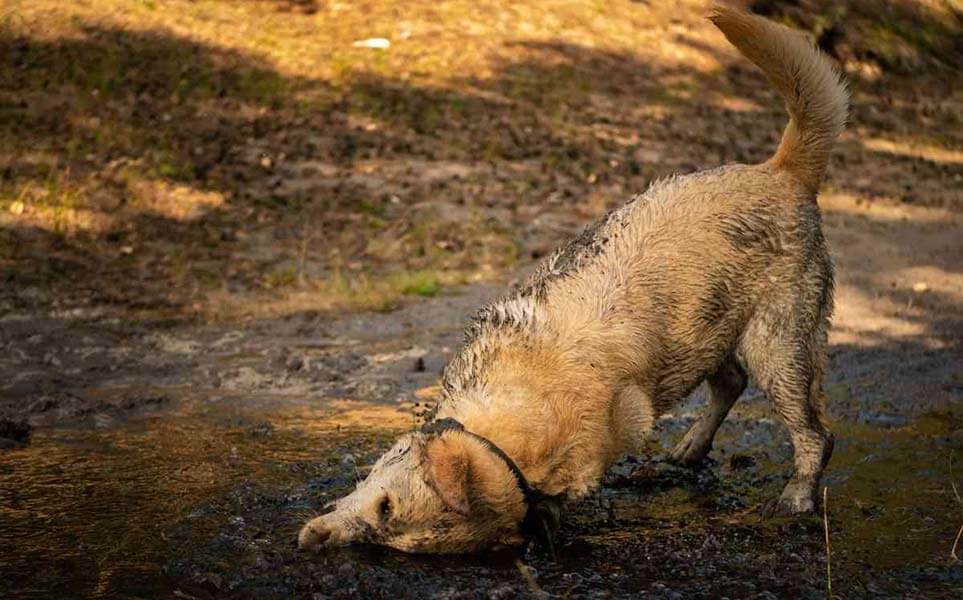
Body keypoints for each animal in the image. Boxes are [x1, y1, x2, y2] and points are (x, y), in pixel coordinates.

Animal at [300, 1, 844, 552]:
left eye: (386, 511)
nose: (313, 540)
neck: (511, 428)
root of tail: (784, 171)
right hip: (711, 329)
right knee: (731, 382)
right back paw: (690, 447)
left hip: (778, 344)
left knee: (814, 433)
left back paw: (796, 496)